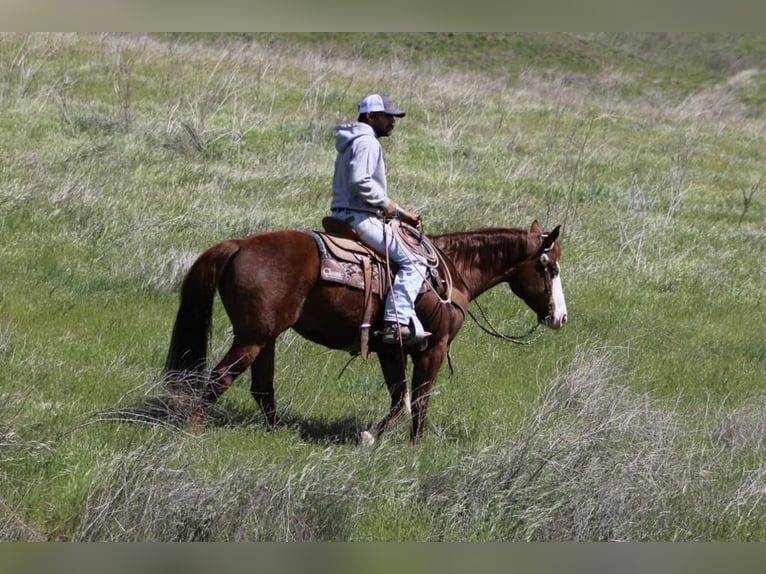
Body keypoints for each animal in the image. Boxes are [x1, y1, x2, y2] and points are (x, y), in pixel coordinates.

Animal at [163, 219, 567, 445]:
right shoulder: (432, 349)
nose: (560, 317)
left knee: (261, 389)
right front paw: (412, 449)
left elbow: (399, 399)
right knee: (218, 379)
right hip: (252, 338)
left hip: (266, 338)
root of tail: (239, 245)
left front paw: (372, 436)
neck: (454, 270)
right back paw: (193, 433)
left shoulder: (391, 349)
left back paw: (278, 434)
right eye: (551, 268)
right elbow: (419, 400)